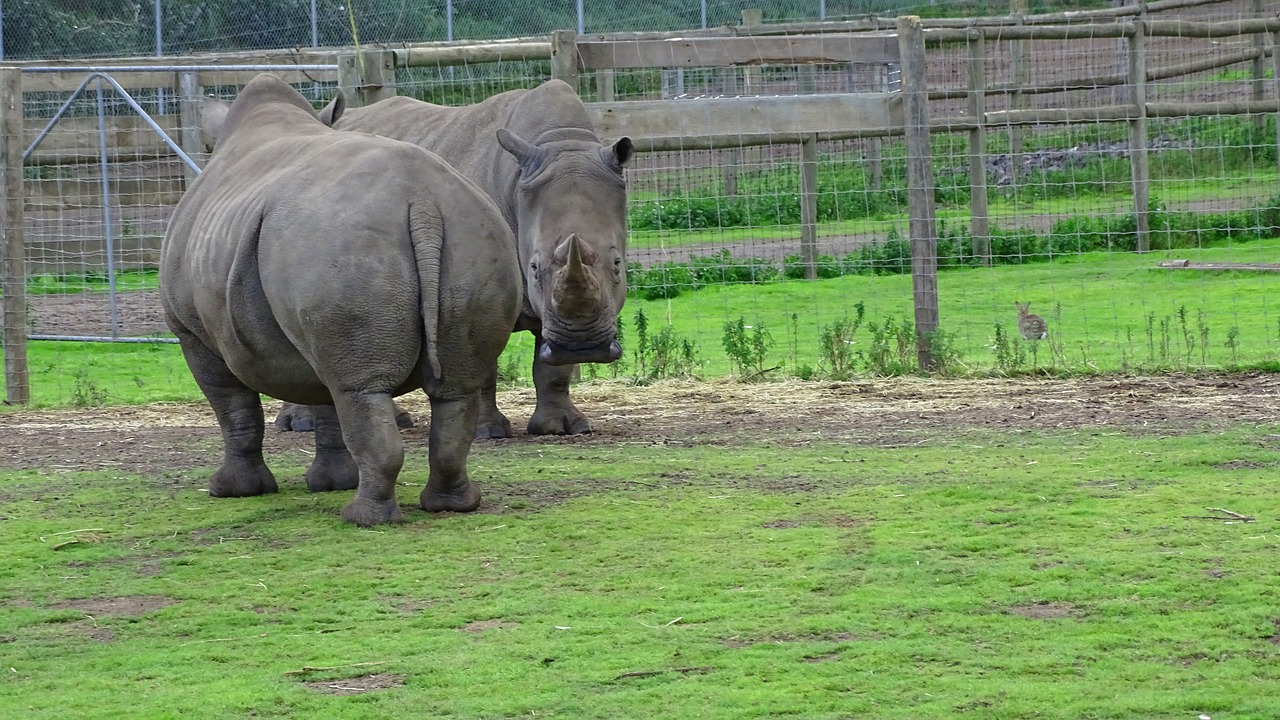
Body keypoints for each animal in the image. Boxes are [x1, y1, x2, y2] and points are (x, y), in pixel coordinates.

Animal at [162, 75, 522, 525]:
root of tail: (422, 202)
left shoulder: (190, 332)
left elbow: (234, 409)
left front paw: (231, 491)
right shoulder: (310, 334)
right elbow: (325, 403)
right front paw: (332, 482)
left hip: (344, 248)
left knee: (359, 390)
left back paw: (362, 518)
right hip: (474, 234)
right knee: (451, 389)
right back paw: (451, 505)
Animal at [275, 79, 629, 438]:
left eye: (618, 265)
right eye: (533, 268)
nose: (582, 346)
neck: (561, 142)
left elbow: (553, 368)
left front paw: (561, 427)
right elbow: (482, 365)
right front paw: (486, 431)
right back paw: (301, 424)